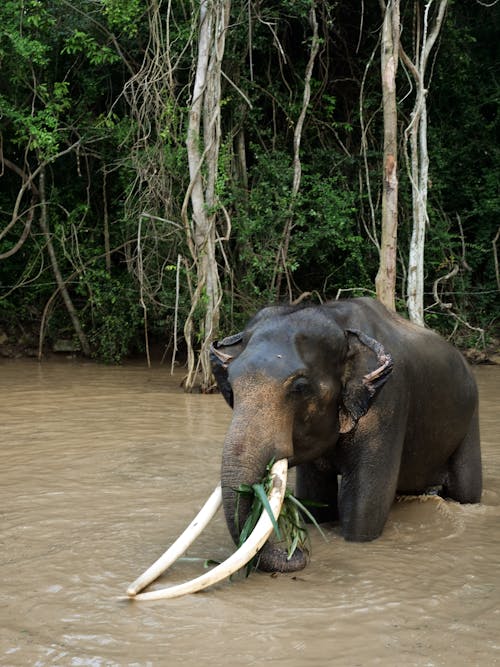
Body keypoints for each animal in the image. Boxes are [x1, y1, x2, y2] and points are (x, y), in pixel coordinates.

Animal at [210, 298, 480, 576]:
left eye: (300, 388)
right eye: (231, 385)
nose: (295, 551)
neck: (338, 322)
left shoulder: (388, 404)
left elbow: (364, 509)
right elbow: (317, 499)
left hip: (470, 418)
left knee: (466, 490)